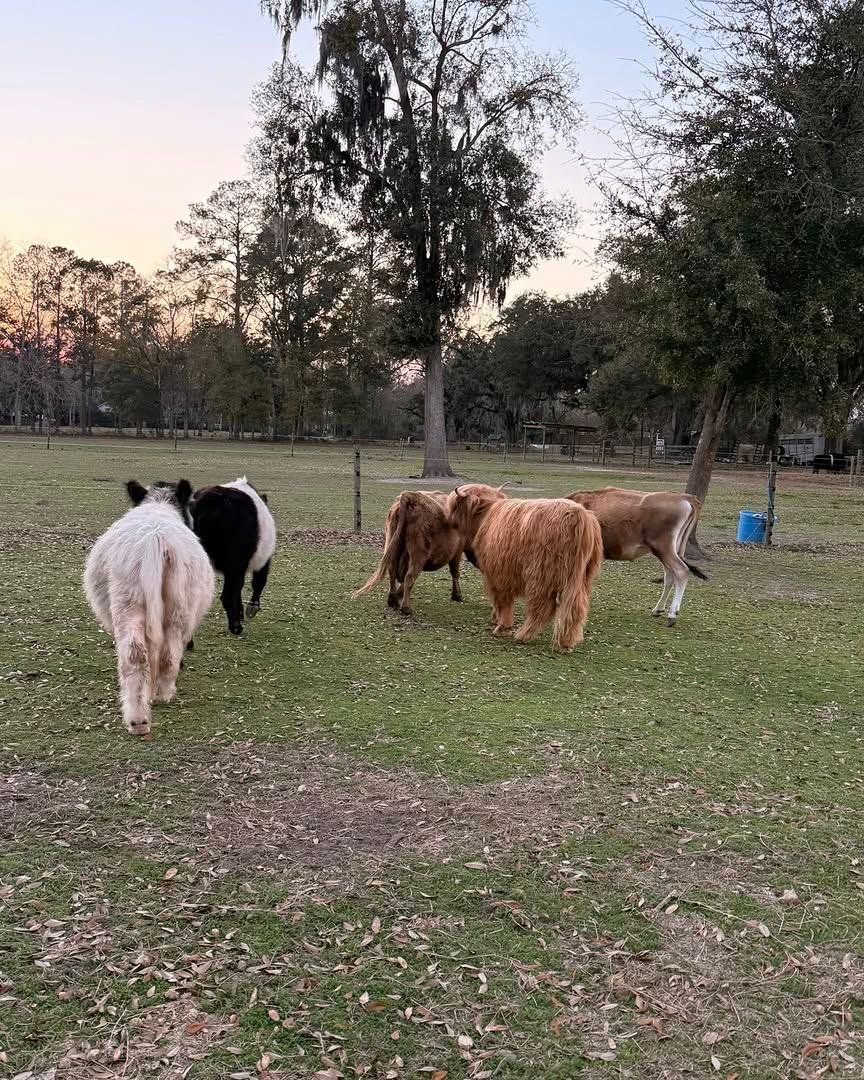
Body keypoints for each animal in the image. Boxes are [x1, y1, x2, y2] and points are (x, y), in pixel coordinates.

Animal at [84, 480, 215, 736]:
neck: (158, 504)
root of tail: (156, 539)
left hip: (128, 603)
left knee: (135, 655)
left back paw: (138, 717)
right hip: (178, 607)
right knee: (169, 653)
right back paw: (160, 697)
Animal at [189, 477, 276, 636]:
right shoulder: (262, 560)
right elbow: (258, 582)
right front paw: (251, 608)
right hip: (235, 562)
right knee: (227, 596)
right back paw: (236, 627)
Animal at [352, 489, 505, 614]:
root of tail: (410, 497)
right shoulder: (457, 552)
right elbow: (455, 572)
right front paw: (457, 595)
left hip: (392, 543)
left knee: (393, 571)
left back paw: (393, 600)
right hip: (418, 553)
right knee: (410, 575)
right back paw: (406, 608)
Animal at [446, 484, 604, 652]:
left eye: (454, 506)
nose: (448, 519)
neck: (486, 515)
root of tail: (578, 515)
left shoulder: (498, 573)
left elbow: (503, 601)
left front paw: (502, 627)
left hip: (541, 573)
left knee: (543, 606)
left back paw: (524, 634)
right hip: (582, 576)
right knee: (577, 607)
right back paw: (566, 643)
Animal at [565, 487, 705, 625]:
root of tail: (684, 497)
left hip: (663, 548)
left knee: (681, 571)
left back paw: (672, 614)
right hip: (670, 549)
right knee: (670, 575)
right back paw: (658, 609)